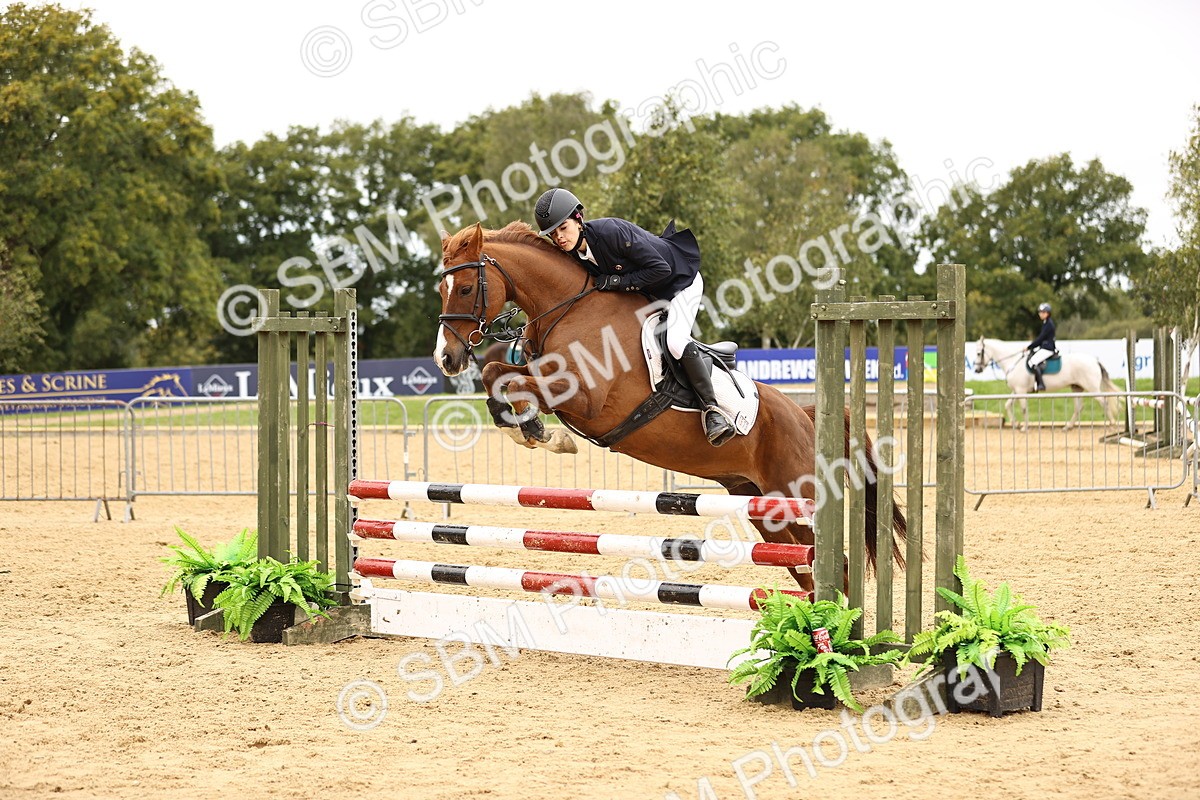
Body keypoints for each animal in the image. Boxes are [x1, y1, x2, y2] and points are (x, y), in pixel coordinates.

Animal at [433, 221, 907, 594]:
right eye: (441, 288)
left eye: (467, 288)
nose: (446, 359)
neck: (570, 308)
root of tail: (806, 417)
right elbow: (496, 373)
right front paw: (529, 430)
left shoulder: (586, 398)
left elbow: (513, 382)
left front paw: (544, 435)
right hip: (760, 503)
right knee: (805, 569)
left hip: (794, 496)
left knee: (832, 568)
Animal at [973, 337, 1121, 431]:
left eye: (979, 353)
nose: (976, 370)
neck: (1013, 362)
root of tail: (1094, 360)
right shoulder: (1016, 390)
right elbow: (1007, 404)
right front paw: (1016, 423)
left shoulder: (1021, 391)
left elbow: (1023, 408)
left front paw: (1024, 427)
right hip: (1076, 388)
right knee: (1079, 407)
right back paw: (1068, 426)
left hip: (1092, 388)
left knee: (1104, 402)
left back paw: (1112, 424)